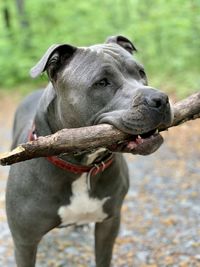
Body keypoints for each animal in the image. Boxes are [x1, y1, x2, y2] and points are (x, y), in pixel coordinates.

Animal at [5, 35, 173, 267]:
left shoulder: (109, 223)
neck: (81, 167)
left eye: (141, 72)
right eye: (102, 83)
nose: (161, 99)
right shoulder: (25, 241)